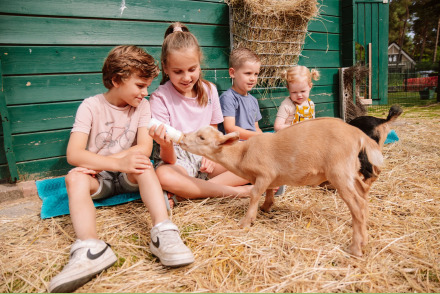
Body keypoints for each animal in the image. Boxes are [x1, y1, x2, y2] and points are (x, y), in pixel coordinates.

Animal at [180, 117, 384, 258]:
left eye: (202, 137)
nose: (182, 137)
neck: (242, 155)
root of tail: (358, 135)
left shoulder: (265, 173)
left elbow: (255, 193)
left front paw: (246, 221)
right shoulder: (270, 178)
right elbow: (269, 191)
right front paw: (266, 207)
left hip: (339, 170)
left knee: (357, 204)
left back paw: (355, 247)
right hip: (350, 169)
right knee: (363, 194)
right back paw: (364, 236)